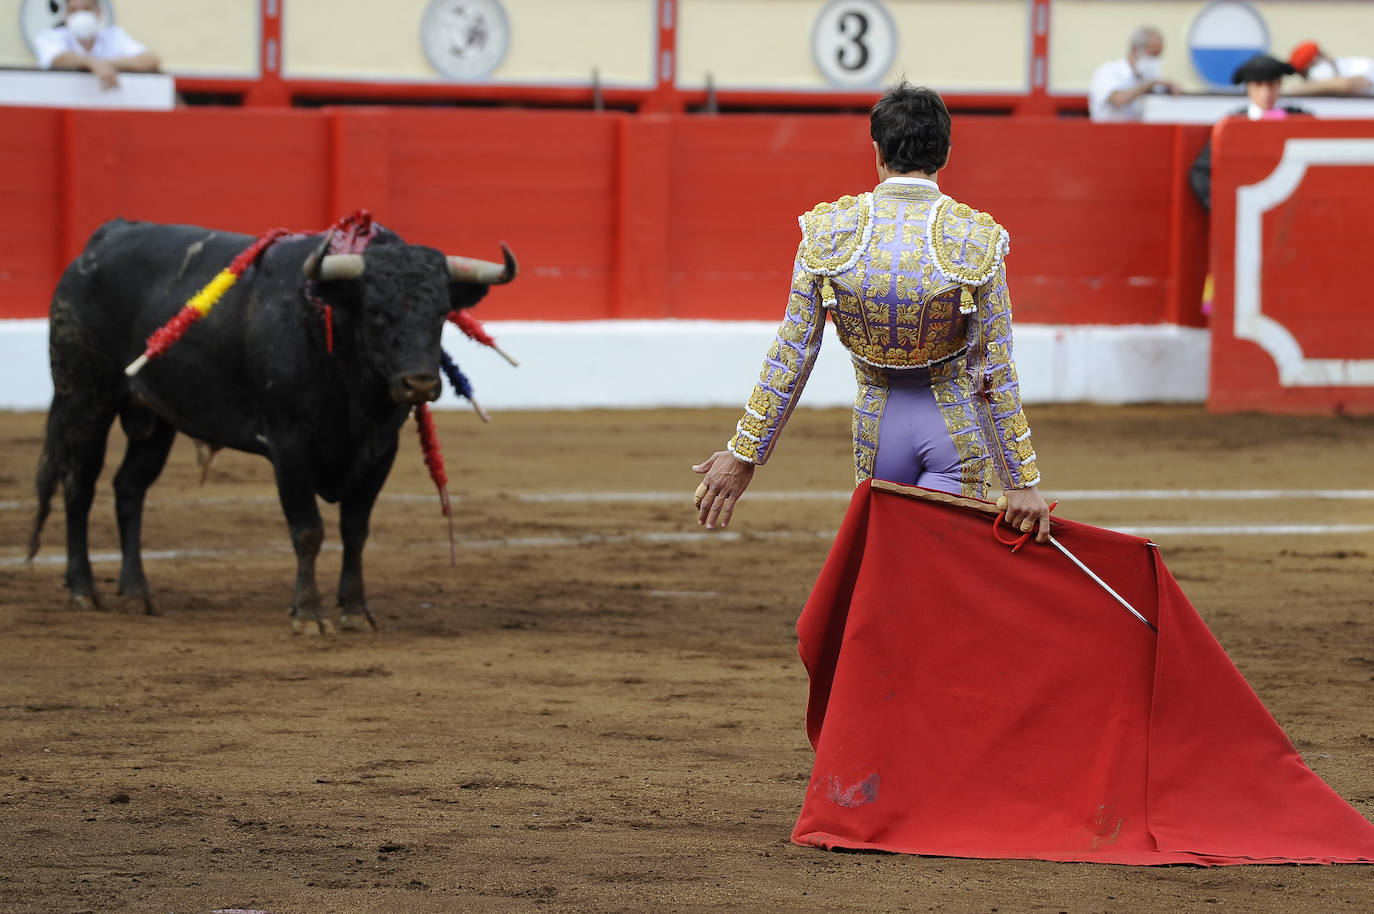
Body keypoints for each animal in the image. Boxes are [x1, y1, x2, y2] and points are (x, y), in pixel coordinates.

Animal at [26, 219, 519, 634]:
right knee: (79, 484)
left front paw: (356, 611)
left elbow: (355, 530)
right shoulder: (289, 447)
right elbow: (308, 530)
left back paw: (136, 591)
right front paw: (309, 615)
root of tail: (104, 237)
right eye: (376, 311)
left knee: (129, 487)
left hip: (156, 417)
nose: (419, 383)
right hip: (84, 398)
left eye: (441, 312)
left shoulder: (381, 451)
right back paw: (83, 589)